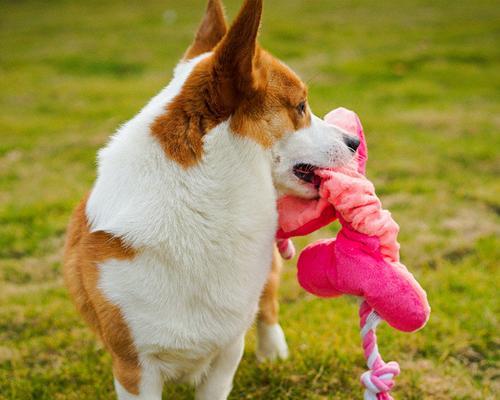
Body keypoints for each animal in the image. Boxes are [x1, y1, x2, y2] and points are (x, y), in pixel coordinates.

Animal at [63, 1, 360, 398]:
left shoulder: (227, 351)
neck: (199, 206)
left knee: (267, 302)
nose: (354, 142)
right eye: (300, 107)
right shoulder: (135, 369)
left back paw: (273, 351)